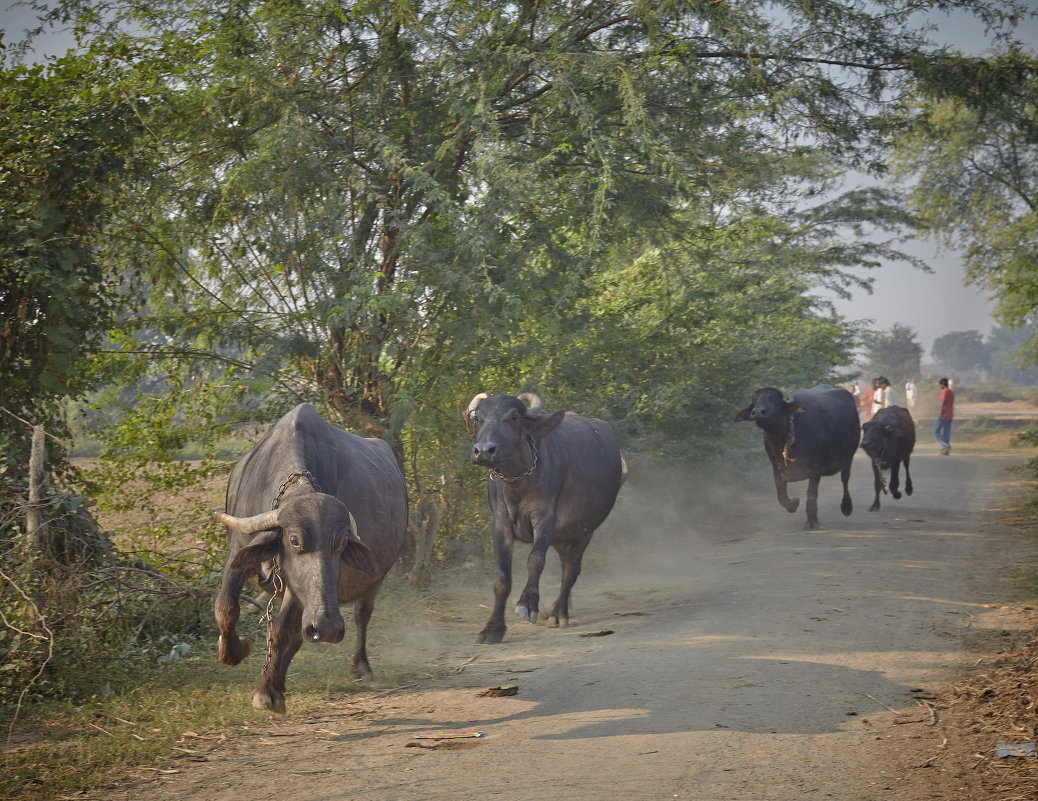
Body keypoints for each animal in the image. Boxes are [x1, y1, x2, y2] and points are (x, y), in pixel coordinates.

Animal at [212, 406, 406, 713]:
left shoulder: (301, 590)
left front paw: (267, 692)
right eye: (294, 541)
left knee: (360, 616)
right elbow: (226, 608)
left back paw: (361, 668)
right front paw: (236, 649)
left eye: (341, 544)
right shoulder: (239, 551)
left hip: (375, 580)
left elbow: (282, 631)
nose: (327, 628)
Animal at [467, 394, 626, 643]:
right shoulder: (501, 523)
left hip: (586, 529)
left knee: (572, 568)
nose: (483, 451)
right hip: (562, 537)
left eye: (514, 417)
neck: (517, 482)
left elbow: (536, 560)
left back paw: (559, 613)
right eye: (477, 418)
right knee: (566, 565)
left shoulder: (545, 519)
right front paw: (492, 629)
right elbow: (502, 577)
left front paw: (528, 604)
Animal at [739, 383, 859, 529]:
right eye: (754, 399)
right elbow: (781, 494)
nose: (757, 412)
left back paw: (846, 507)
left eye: (774, 399)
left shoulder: (815, 468)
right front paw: (794, 504)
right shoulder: (776, 467)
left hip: (849, 457)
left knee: (845, 480)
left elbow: (811, 493)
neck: (783, 440)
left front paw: (812, 521)